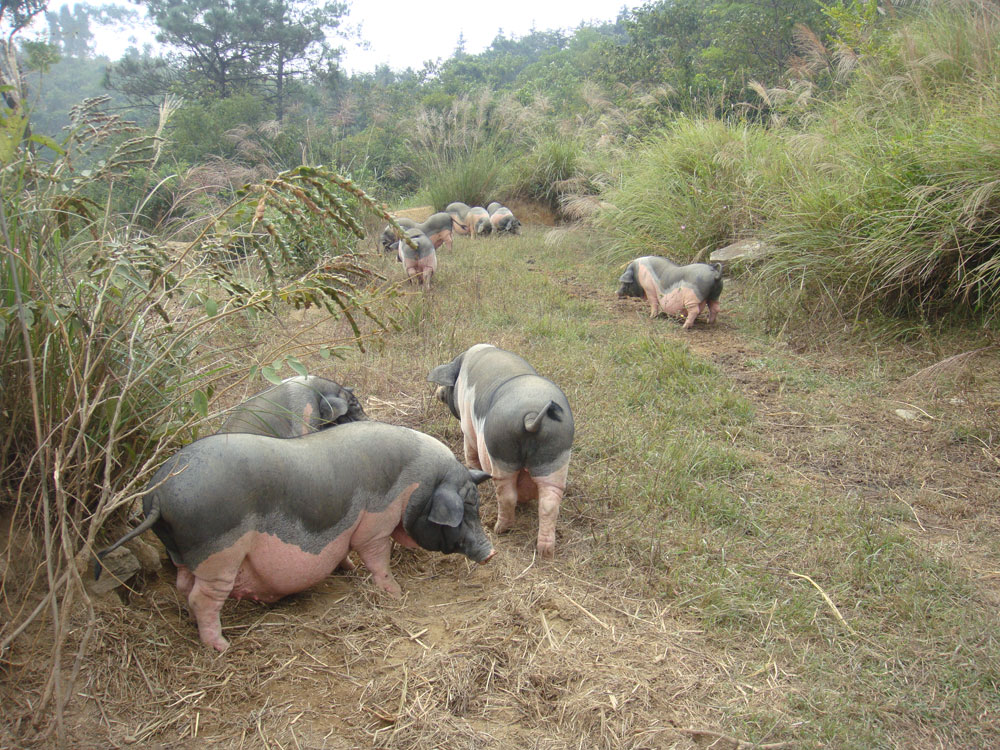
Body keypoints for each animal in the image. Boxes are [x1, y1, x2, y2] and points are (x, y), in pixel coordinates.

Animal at [95, 424, 494, 652]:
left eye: (476, 505)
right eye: (464, 511)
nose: (490, 552)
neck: (420, 488)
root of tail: (158, 498)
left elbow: (344, 551)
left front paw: (348, 570)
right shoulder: (375, 526)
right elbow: (378, 558)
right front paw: (395, 593)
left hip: (181, 551)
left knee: (182, 583)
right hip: (219, 554)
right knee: (200, 598)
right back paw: (222, 646)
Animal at [426, 346, 576, 560]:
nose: (439, 392)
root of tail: (531, 416)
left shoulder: (468, 427)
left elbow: (470, 452)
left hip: (500, 451)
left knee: (507, 495)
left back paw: (500, 529)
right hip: (556, 455)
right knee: (549, 502)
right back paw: (546, 551)